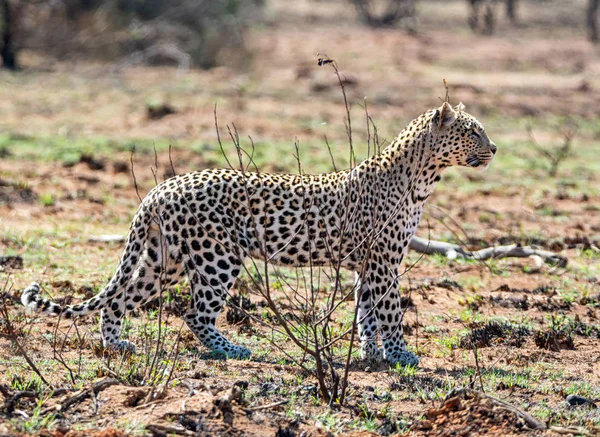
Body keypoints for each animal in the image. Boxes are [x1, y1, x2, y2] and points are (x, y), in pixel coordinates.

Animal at [19, 100, 496, 366]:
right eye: (473, 131)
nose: (493, 148)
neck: (423, 176)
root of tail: (160, 188)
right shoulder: (383, 260)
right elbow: (390, 312)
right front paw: (400, 356)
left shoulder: (368, 264)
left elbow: (367, 313)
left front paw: (371, 356)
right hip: (217, 257)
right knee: (194, 313)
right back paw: (230, 350)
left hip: (163, 261)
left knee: (119, 299)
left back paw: (117, 345)